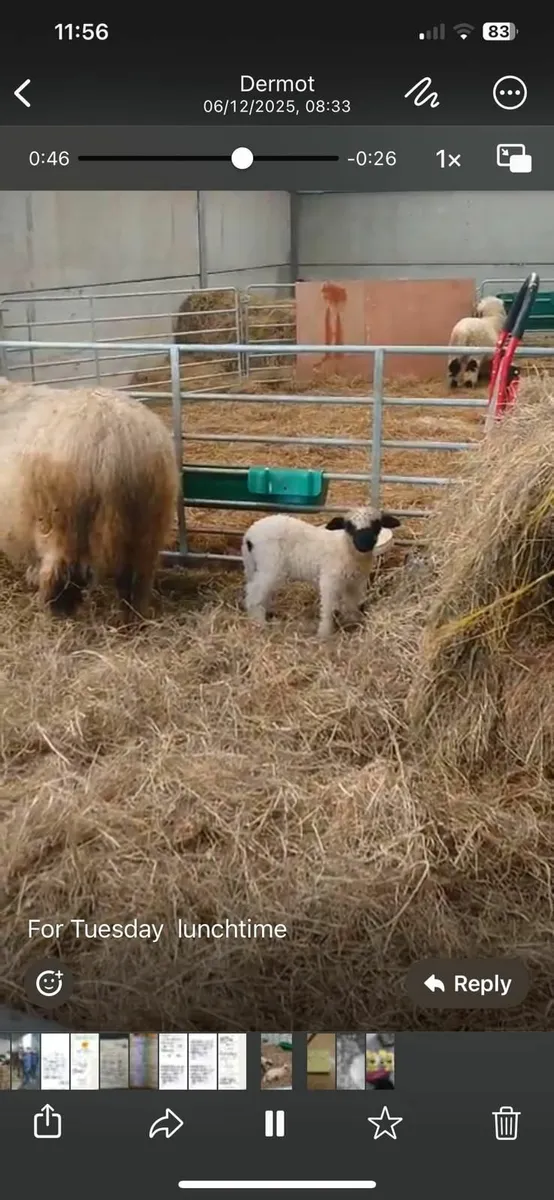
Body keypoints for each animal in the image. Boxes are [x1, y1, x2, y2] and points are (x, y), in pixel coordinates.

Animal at [0, 377, 179, 618]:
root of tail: (116, 446)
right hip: (149, 523)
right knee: (138, 576)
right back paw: (133, 615)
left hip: (60, 524)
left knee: (59, 573)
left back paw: (57, 612)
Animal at [241, 505, 400, 639]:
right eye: (349, 526)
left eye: (377, 525)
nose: (364, 544)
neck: (346, 549)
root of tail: (250, 535)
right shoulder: (329, 581)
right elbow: (328, 608)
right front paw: (324, 633)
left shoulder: (355, 582)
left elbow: (351, 603)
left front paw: (352, 622)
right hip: (270, 566)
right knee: (254, 594)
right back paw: (259, 623)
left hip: (252, 565)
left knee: (256, 590)